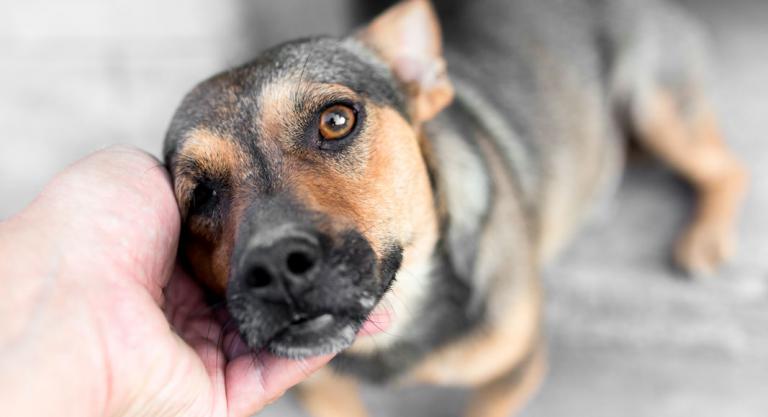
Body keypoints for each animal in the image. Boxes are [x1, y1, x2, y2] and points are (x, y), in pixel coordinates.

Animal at [162, 0, 744, 416]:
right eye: (199, 195)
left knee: (729, 169)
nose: (277, 267)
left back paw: (705, 238)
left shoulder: (515, 367)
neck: (400, 323)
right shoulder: (323, 391)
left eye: (336, 120)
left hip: (657, 103)